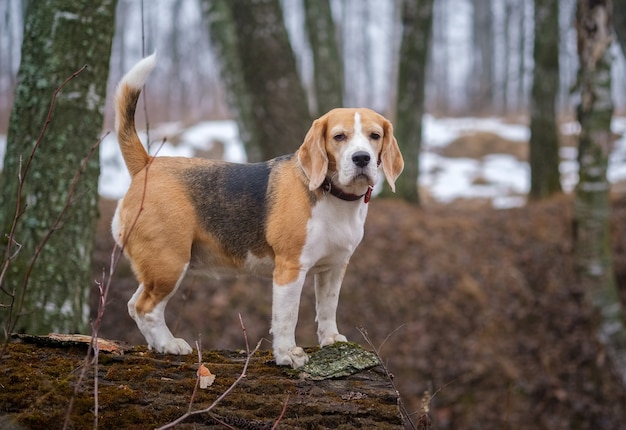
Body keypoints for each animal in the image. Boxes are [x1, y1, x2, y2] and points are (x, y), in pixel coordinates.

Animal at [111, 53, 402, 368]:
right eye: (339, 137)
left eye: (375, 135)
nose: (362, 158)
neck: (334, 196)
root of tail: (148, 163)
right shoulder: (290, 268)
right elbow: (287, 317)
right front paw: (287, 354)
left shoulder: (334, 267)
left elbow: (327, 307)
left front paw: (331, 340)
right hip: (169, 263)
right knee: (146, 307)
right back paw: (169, 344)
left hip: (158, 264)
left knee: (134, 305)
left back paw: (157, 346)